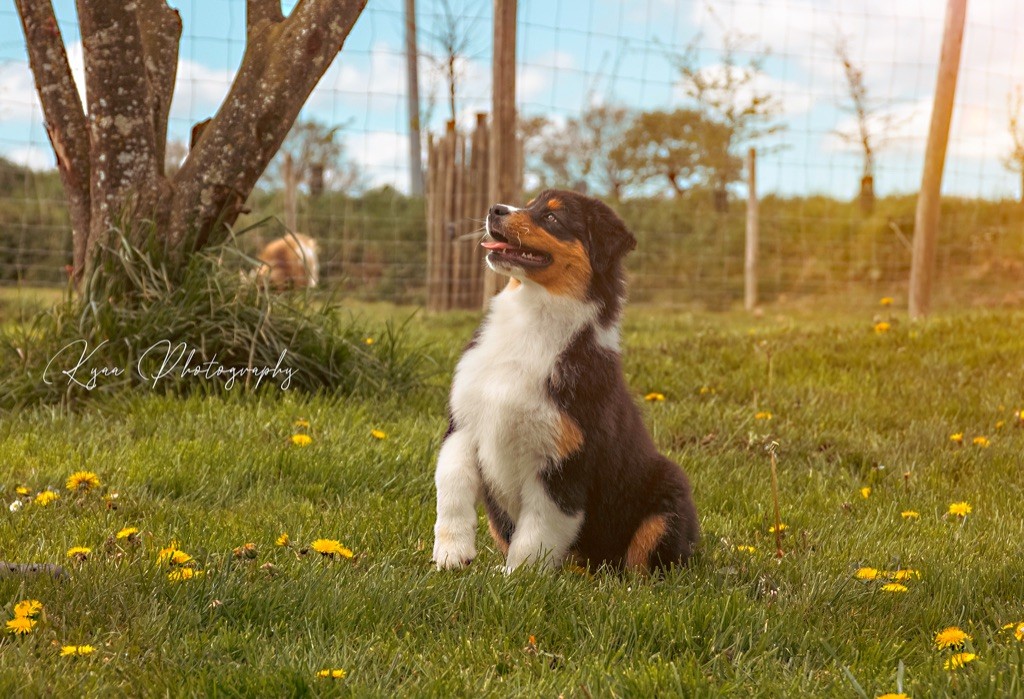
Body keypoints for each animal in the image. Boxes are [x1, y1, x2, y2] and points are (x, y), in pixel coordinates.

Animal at [428, 188, 700, 573]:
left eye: (552, 217)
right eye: (528, 205)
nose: (495, 209)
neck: (530, 320)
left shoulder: (564, 461)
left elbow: (535, 535)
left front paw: (516, 578)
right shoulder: (463, 424)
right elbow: (451, 484)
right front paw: (452, 555)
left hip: (668, 494)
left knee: (644, 560)